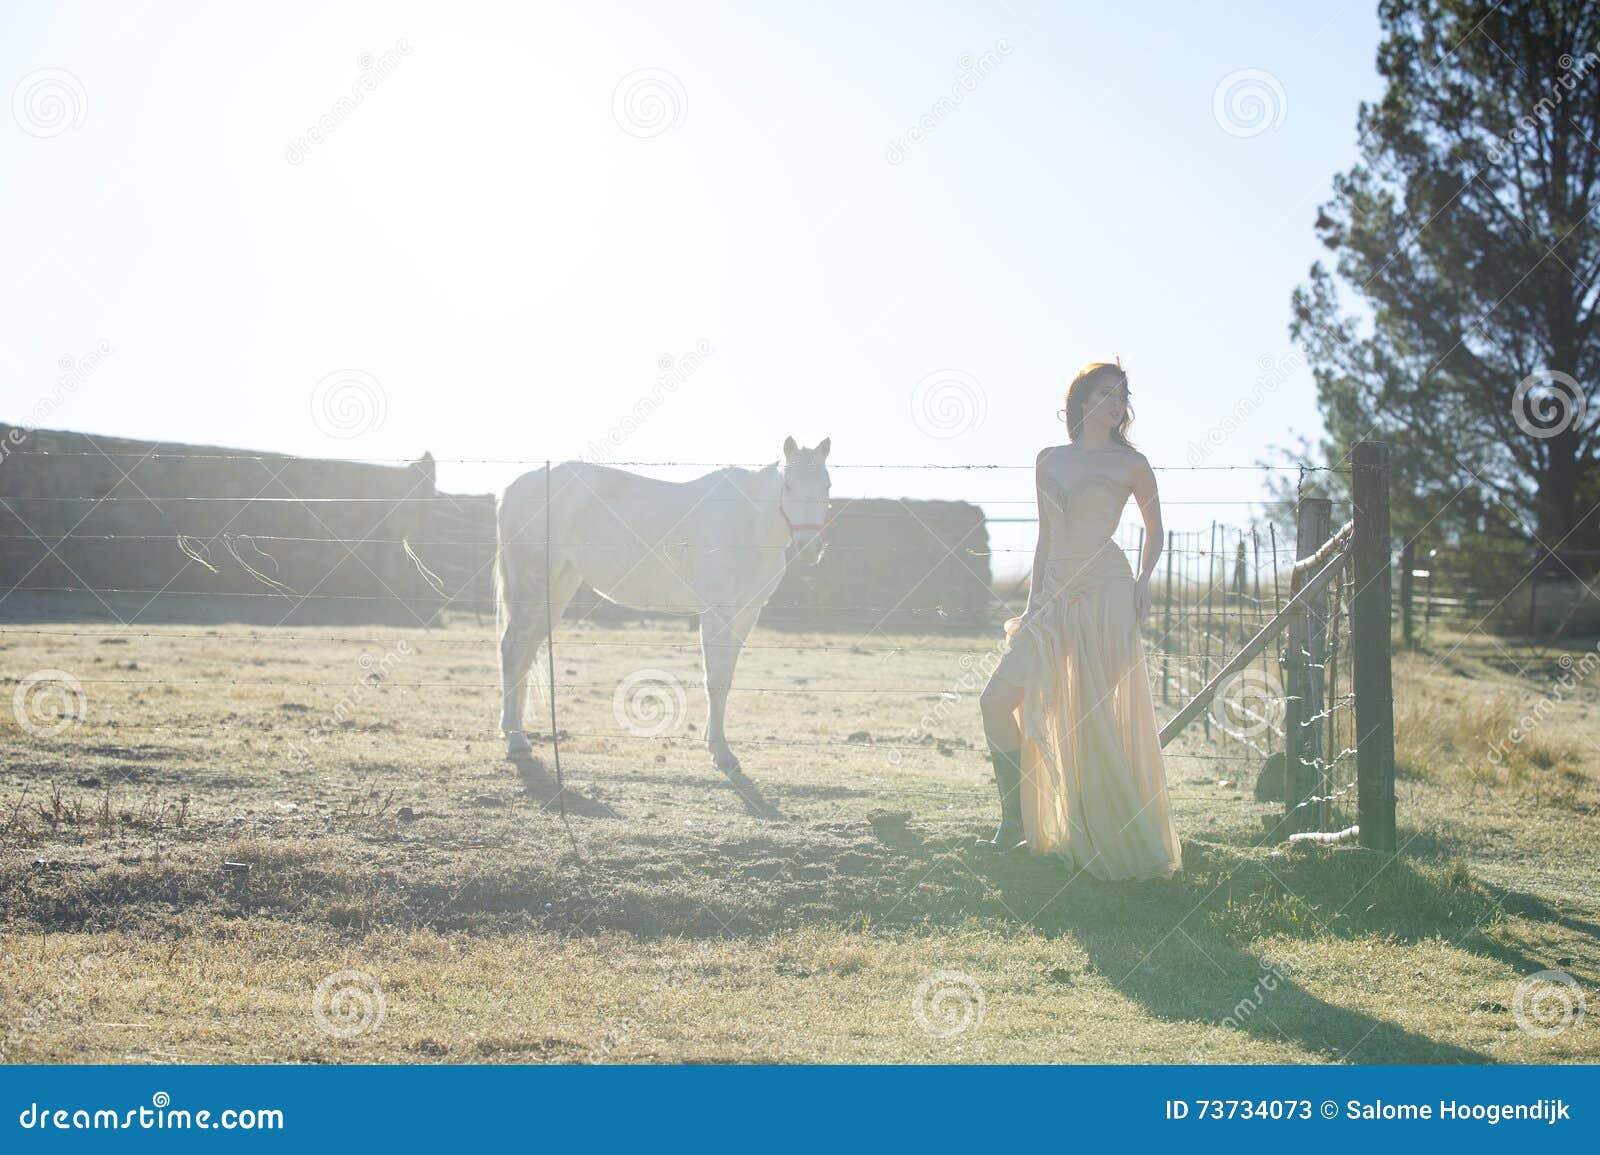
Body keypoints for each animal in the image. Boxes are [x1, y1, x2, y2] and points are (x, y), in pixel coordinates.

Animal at [492, 435, 832, 767]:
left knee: (526, 652)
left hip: (556, 588)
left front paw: (714, 741)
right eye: (789, 486)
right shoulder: (718, 612)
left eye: (827, 486)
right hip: (532, 587)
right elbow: (715, 679)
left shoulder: (747, 613)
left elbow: (727, 677)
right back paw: (515, 739)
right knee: (512, 649)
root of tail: (515, 487)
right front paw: (721, 752)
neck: (749, 524)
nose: (810, 547)